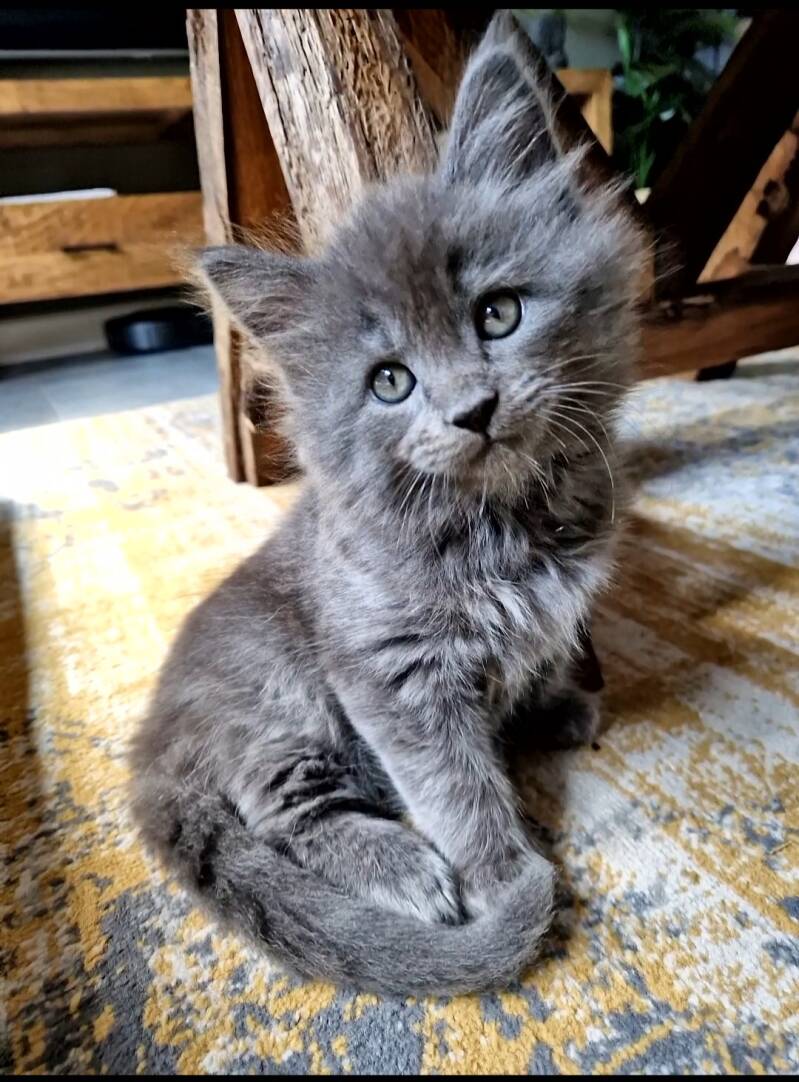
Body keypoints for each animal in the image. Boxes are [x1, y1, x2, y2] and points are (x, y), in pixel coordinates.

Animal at [130, 11, 643, 996]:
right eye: (390, 382)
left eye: (497, 314)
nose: (472, 410)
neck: (500, 524)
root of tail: (154, 739)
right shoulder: (392, 671)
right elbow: (455, 788)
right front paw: (503, 876)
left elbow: (538, 657)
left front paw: (552, 701)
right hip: (278, 693)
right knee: (281, 809)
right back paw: (405, 871)